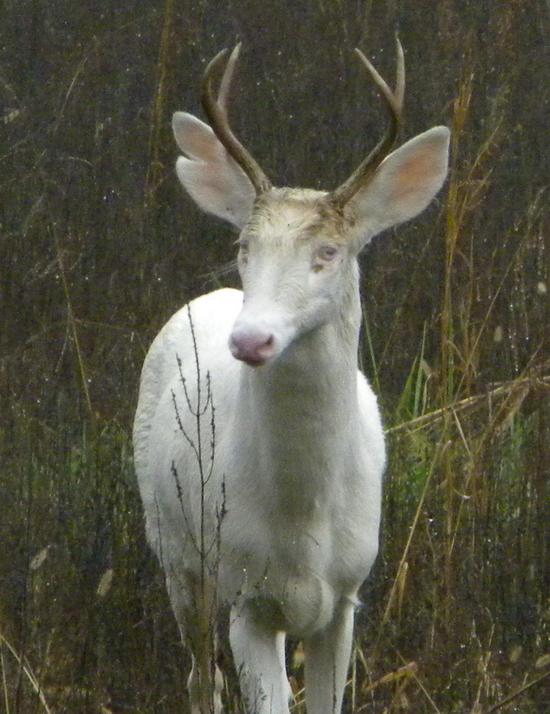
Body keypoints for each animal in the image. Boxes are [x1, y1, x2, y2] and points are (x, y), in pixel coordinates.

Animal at [133, 41, 448, 708]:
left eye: (328, 252)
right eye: (244, 247)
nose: (251, 338)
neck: (303, 521)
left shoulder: (346, 595)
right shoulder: (245, 593)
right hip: (176, 551)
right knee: (201, 676)